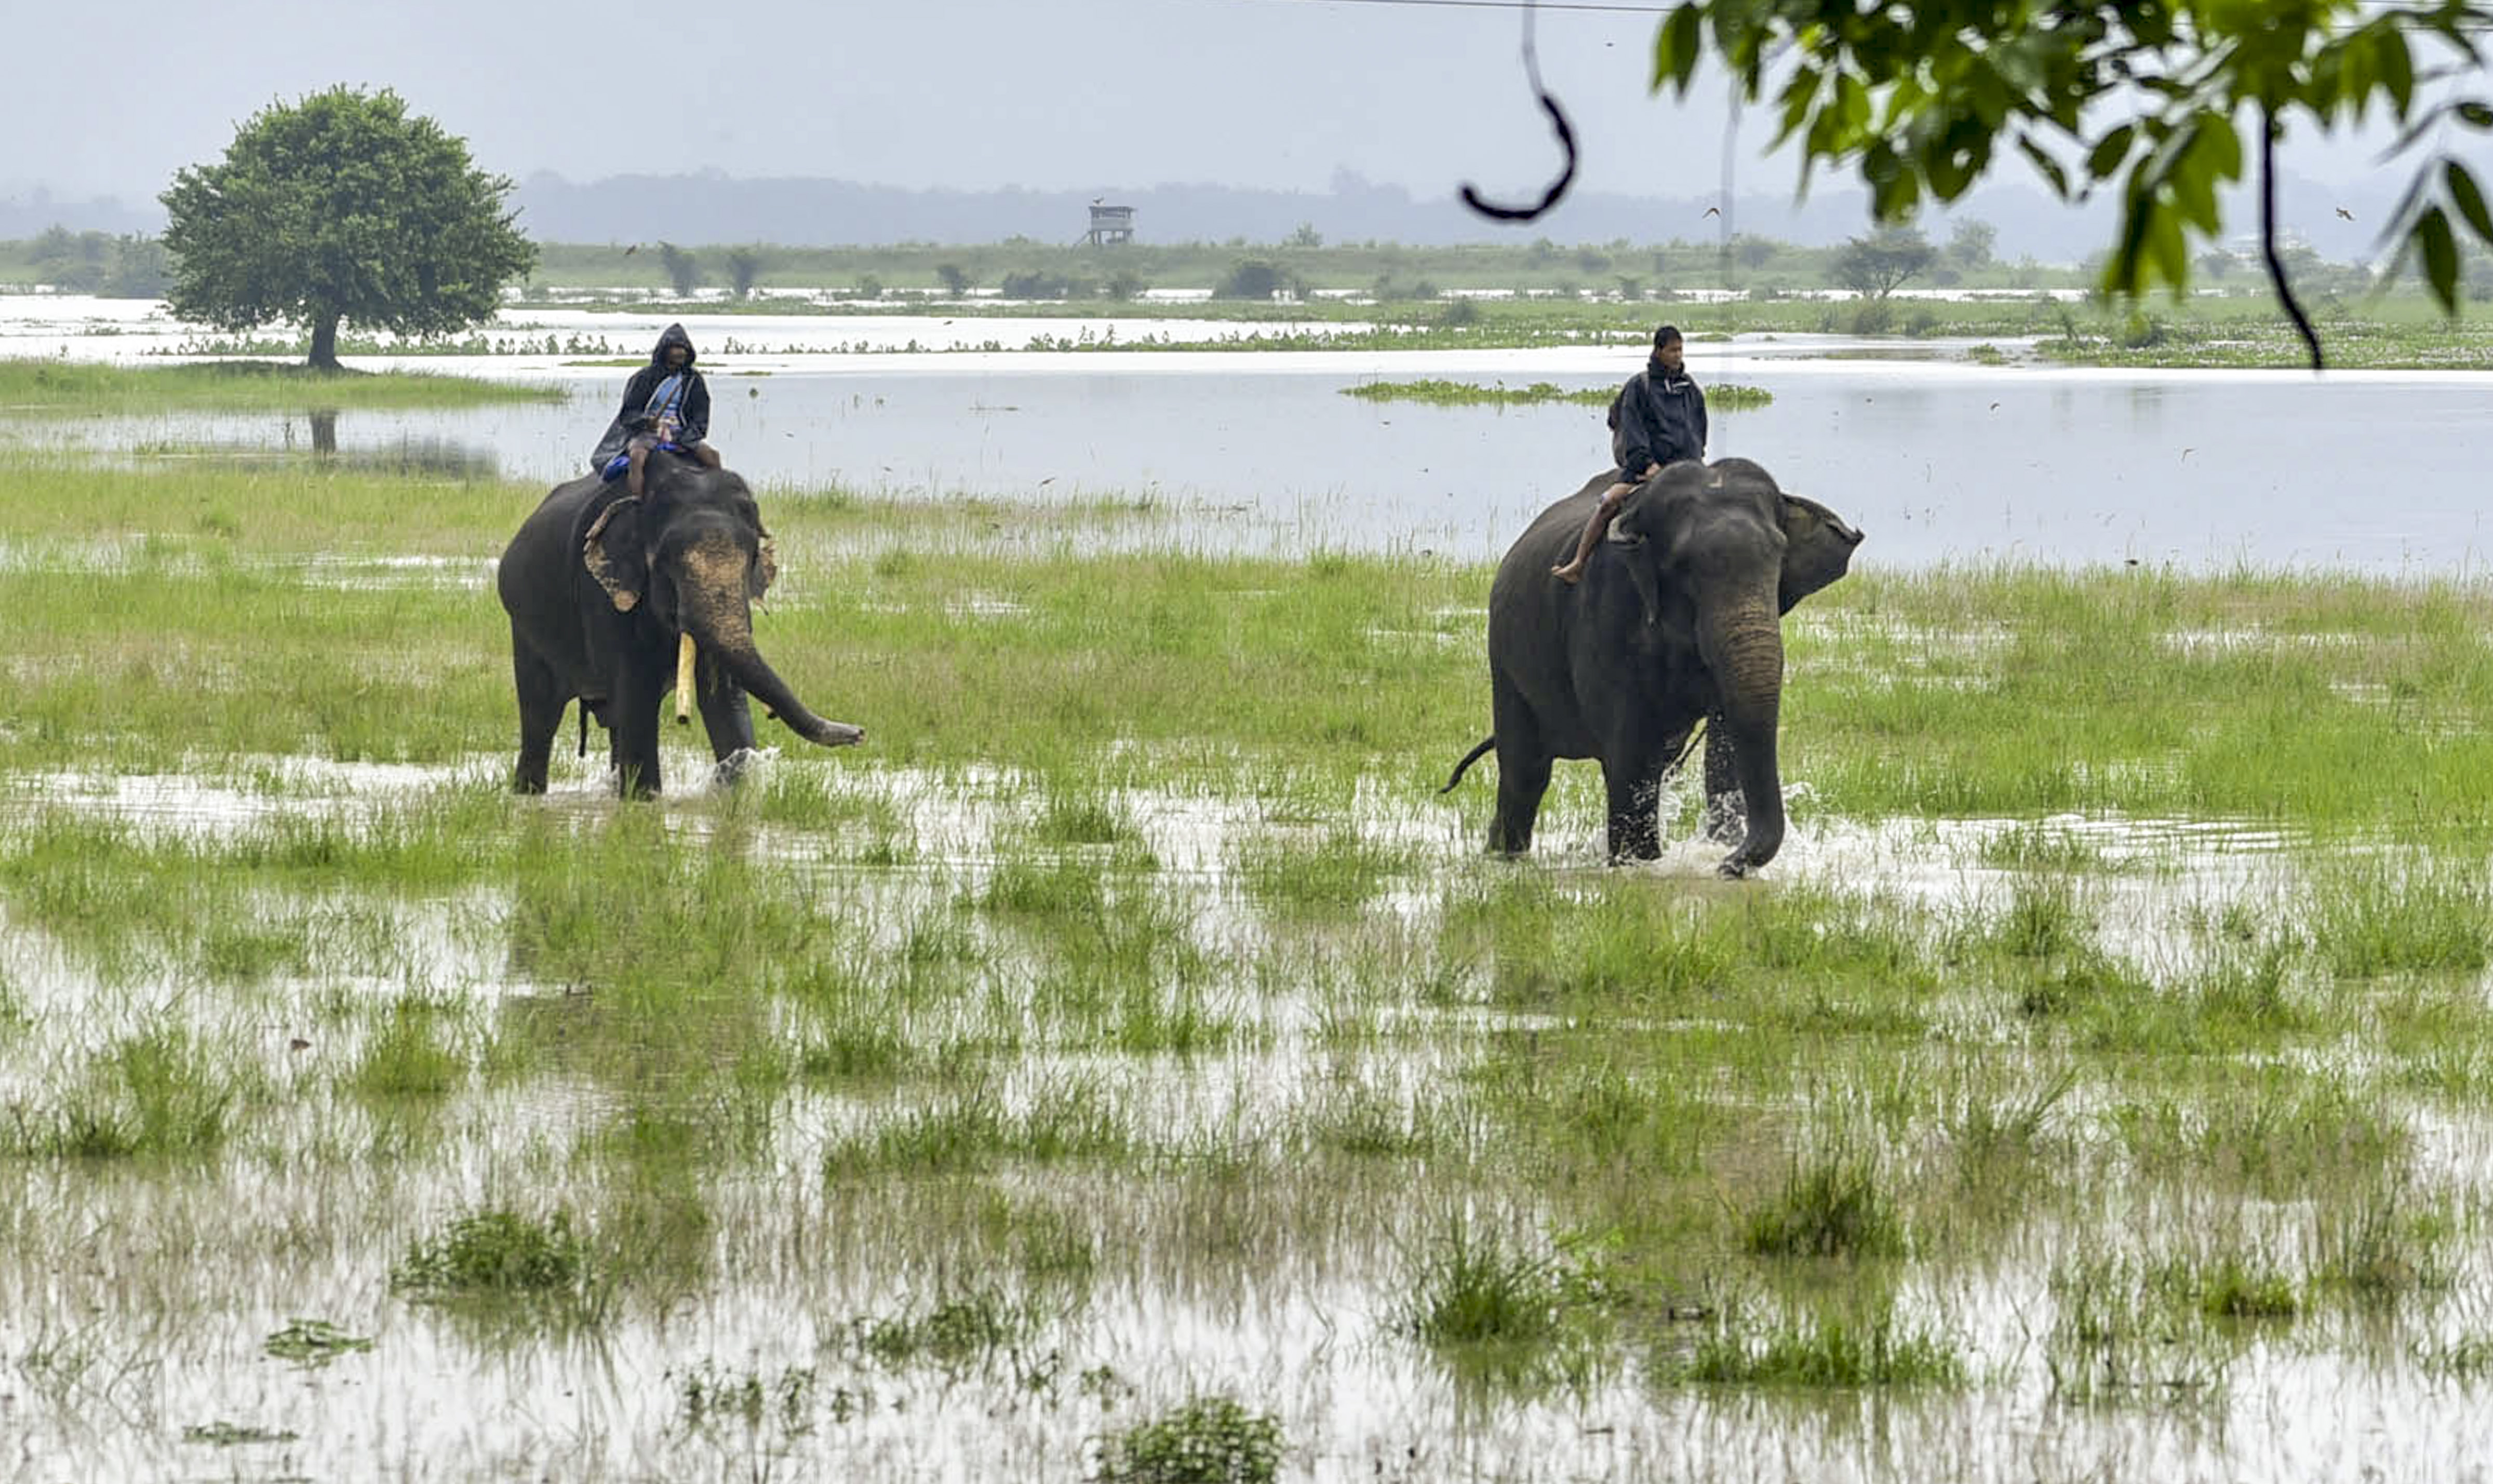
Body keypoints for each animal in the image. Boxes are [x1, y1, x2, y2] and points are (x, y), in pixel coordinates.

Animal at [496, 454, 867, 803]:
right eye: (666, 564)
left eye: (751, 560)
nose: (859, 734)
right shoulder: (605, 596)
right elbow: (638, 698)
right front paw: (644, 800)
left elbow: (725, 701)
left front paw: (736, 792)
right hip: (525, 628)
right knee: (541, 715)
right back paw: (529, 792)